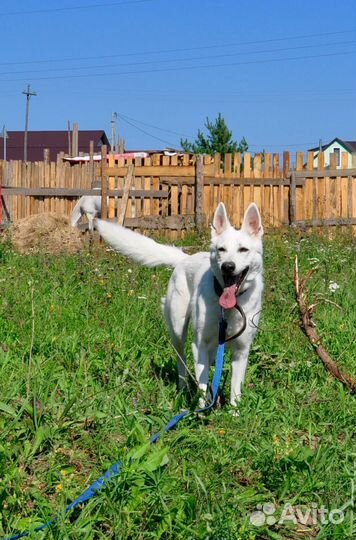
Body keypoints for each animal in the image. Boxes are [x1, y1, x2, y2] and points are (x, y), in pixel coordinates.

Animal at [96, 204, 262, 410]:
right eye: (221, 249)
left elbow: (235, 390)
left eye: (243, 249)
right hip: (178, 330)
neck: (229, 308)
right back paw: (183, 389)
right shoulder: (199, 345)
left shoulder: (241, 351)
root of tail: (185, 258)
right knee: (181, 361)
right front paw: (201, 411)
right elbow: (202, 383)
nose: (228, 266)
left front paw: (234, 413)